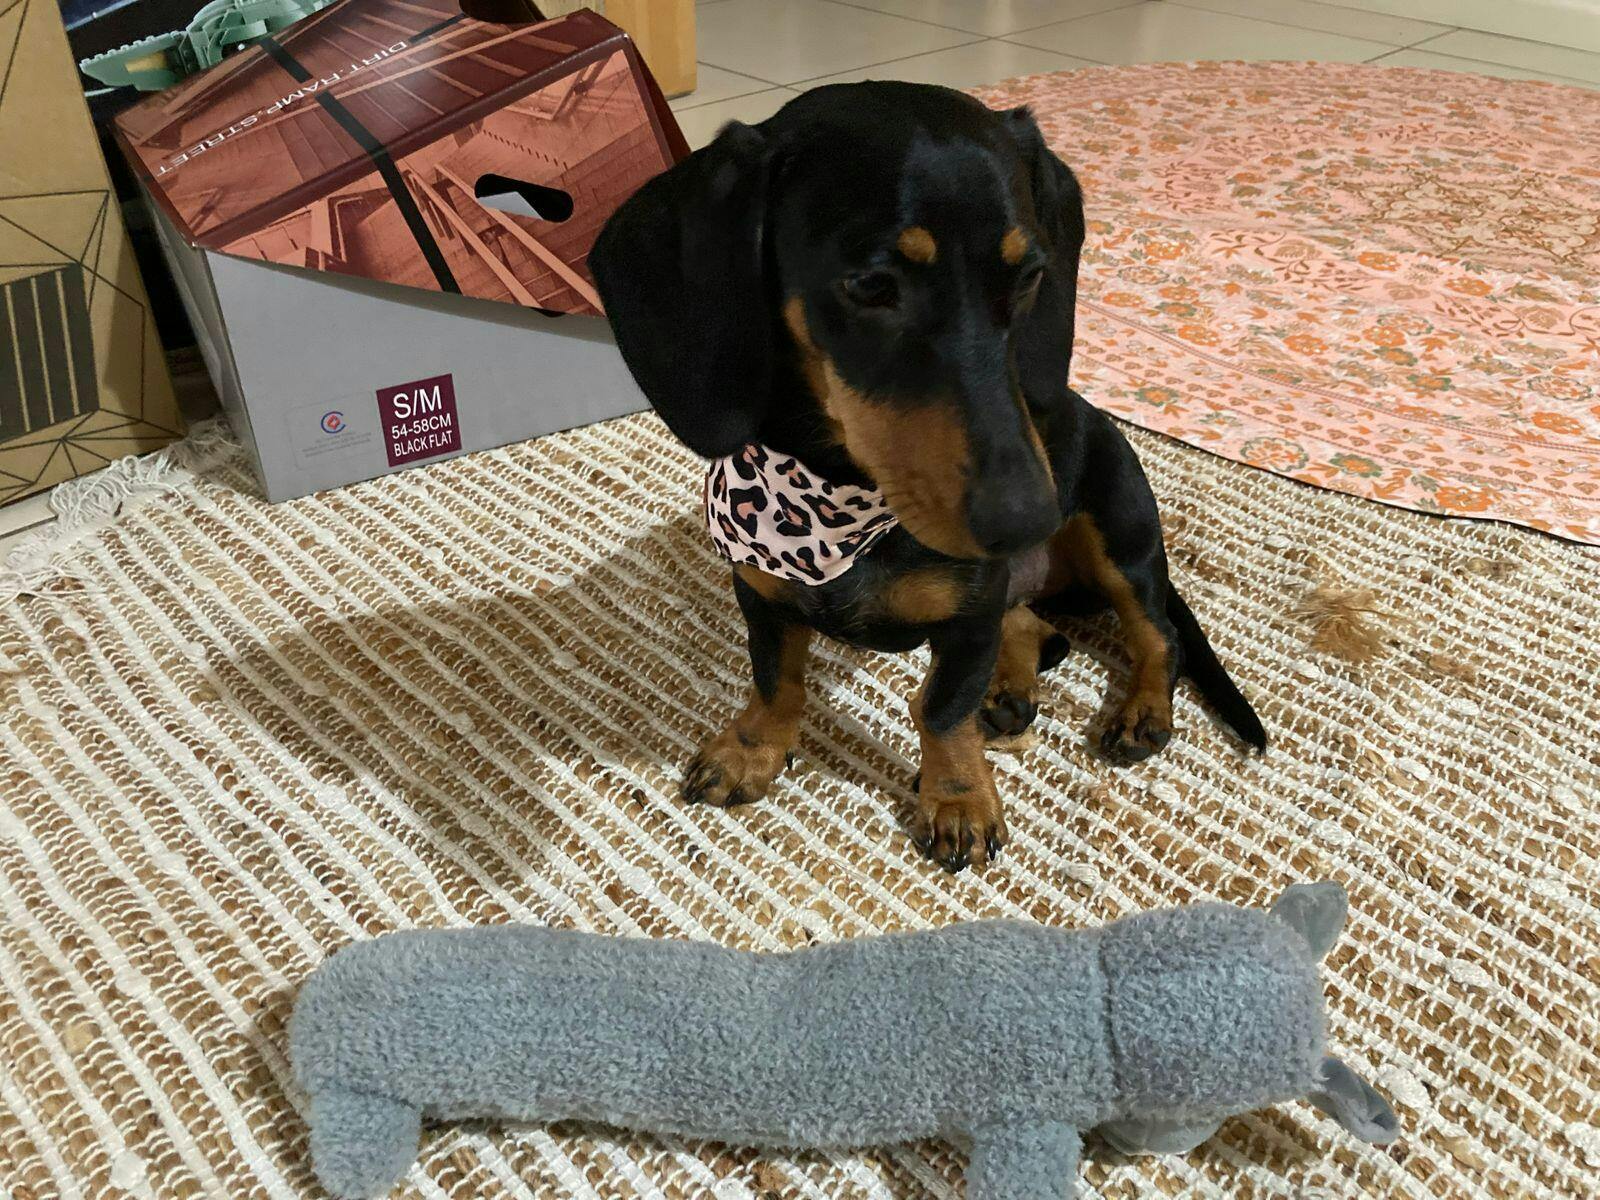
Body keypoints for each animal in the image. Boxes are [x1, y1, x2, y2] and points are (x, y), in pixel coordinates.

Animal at [590, 82, 1266, 873]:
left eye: (1031, 277)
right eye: (872, 285)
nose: (1029, 519)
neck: (839, 505)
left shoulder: (969, 617)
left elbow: (941, 708)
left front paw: (959, 798)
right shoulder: (761, 594)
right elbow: (775, 680)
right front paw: (751, 751)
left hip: (1121, 533)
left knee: (1158, 634)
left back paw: (1140, 711)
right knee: (1039, 629)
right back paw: (1010, 688)